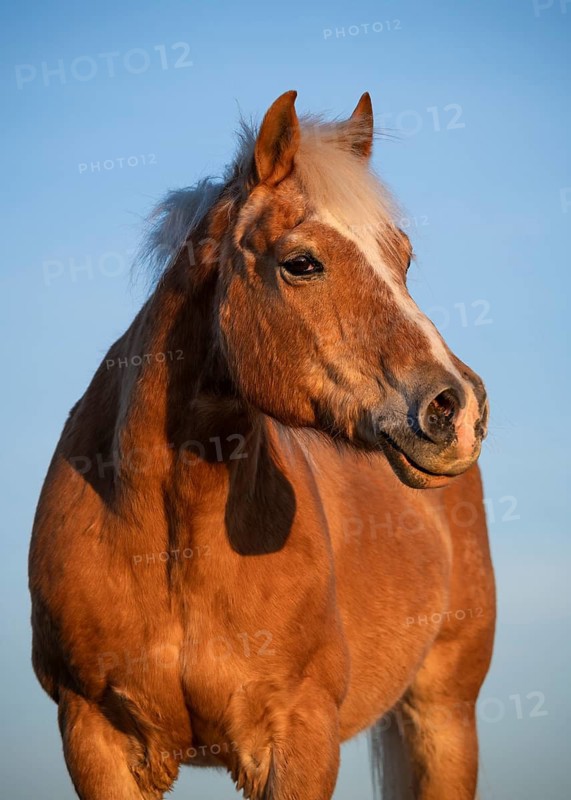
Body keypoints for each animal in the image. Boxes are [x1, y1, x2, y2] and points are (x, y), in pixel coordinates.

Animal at [29, 90, 495, 800]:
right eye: (301, 263)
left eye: (404, 258)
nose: (458, 407)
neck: (168, 538)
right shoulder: (93, 738)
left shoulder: (299, 739)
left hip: (443, 716)